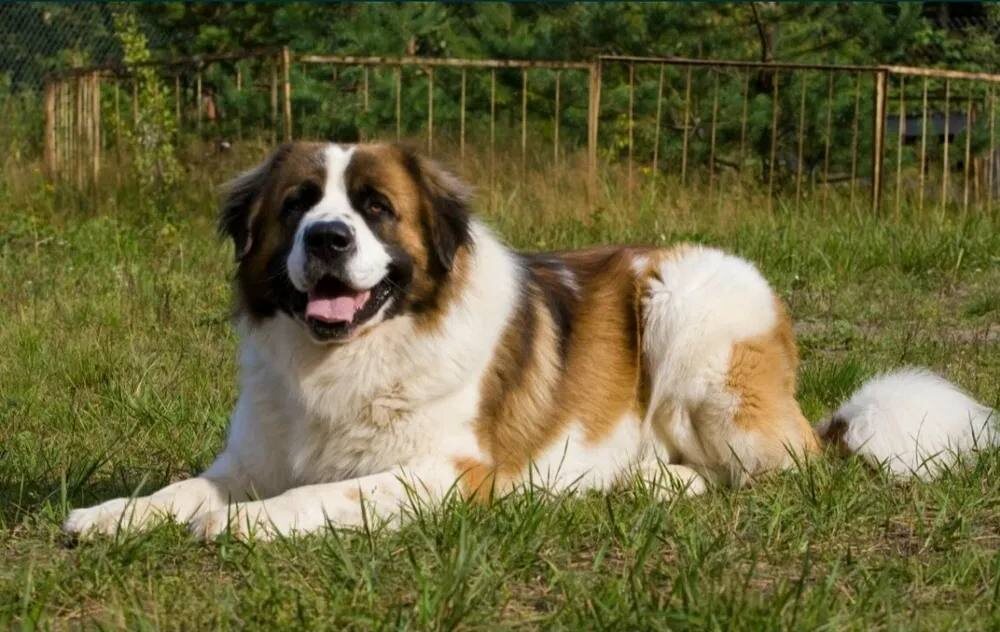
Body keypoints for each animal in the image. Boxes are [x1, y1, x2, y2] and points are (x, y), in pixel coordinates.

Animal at [64, 142, 997, 540]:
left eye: (375, 208)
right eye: (297, 205)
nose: (326, 239)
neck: (345, 361)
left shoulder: (449, 472)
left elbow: (322, 496)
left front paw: (246, 524)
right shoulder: (250, 458)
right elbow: (186, 488)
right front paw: (116, 513)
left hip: (694, 311)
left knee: (765, 476)